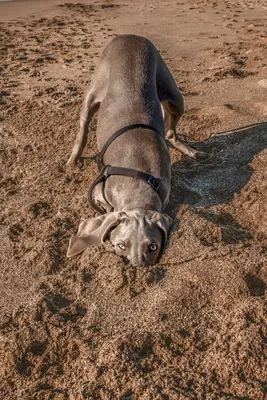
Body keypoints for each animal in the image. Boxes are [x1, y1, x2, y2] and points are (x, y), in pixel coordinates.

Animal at [67, 33, 205, 266]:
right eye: (121, 245)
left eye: (153, 246)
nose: (139, 267)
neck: (138, 185)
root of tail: (129, 35)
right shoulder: (97, 191)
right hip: (93, 94)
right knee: (82, 131)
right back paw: (73, 160)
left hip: (175, 96)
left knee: (170, 132)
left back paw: (190, 150)